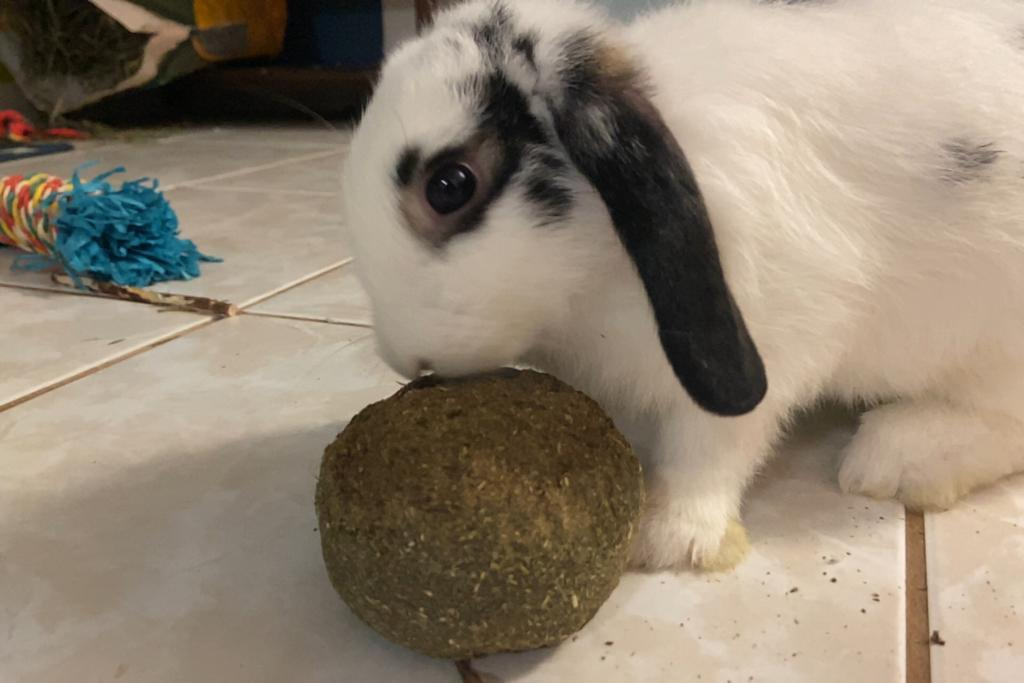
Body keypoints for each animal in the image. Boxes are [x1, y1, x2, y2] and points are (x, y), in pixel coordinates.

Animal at [340, 0, 1024, 570]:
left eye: (450, 185)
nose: (405, 359)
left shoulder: (775, 333)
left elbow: (713, 443)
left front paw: (665, 537)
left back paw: (894, 458)